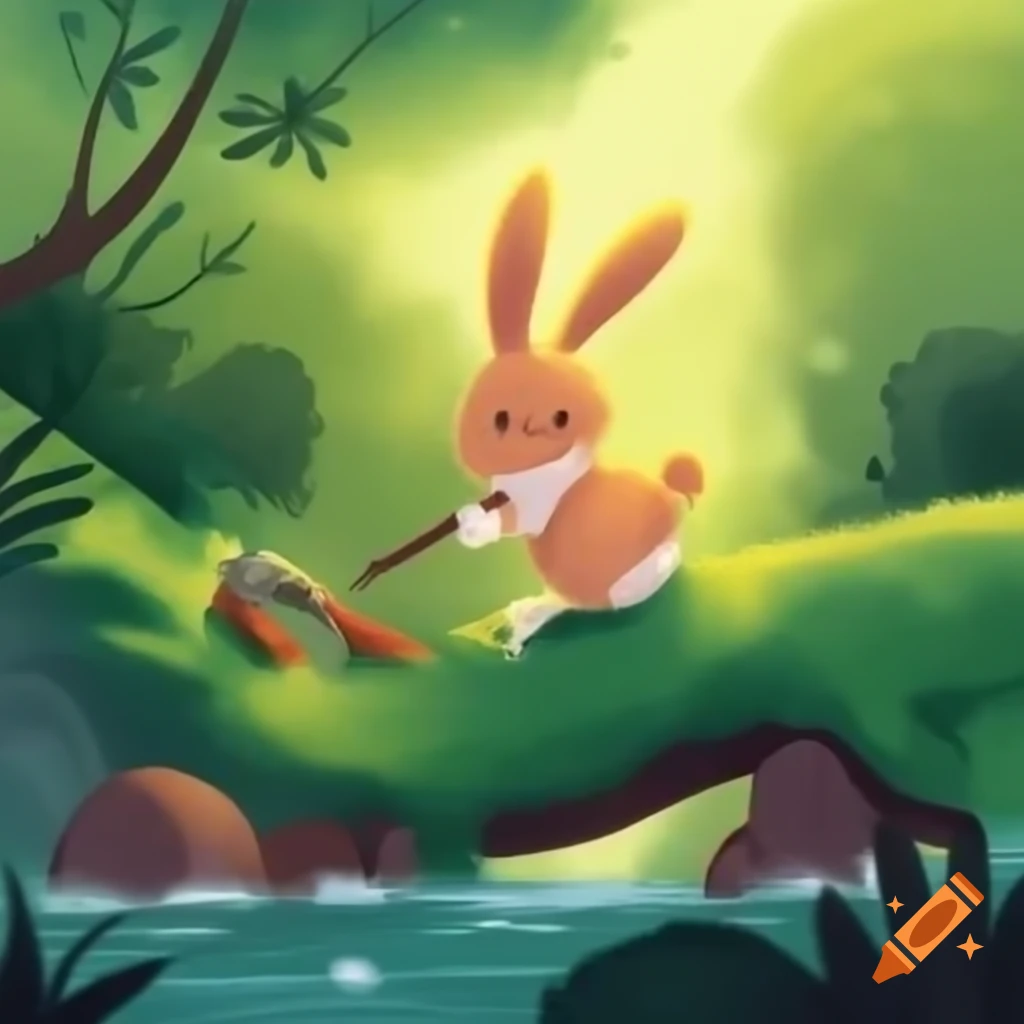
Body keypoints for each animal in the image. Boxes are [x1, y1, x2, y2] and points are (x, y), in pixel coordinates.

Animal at [453, 169, 704, 657]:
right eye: (499, 420)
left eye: (562, 418)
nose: (531, 431)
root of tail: (672, 495)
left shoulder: (534, 503)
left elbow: (513, 521)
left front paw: (470, 524)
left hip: (628, 576)